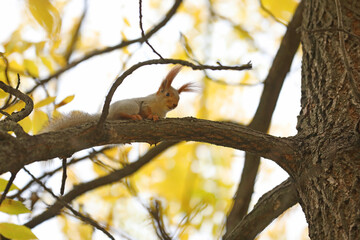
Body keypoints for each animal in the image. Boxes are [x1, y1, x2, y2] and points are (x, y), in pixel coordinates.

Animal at [40, 65, 195, 133]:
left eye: (179, 98)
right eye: (167, 94)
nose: (174, 105)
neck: (160, 107)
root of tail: (108, 113)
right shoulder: (146, 102)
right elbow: (146, 110)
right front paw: (152, 116)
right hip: (131, 106)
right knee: (122, 114)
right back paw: (133, 117)